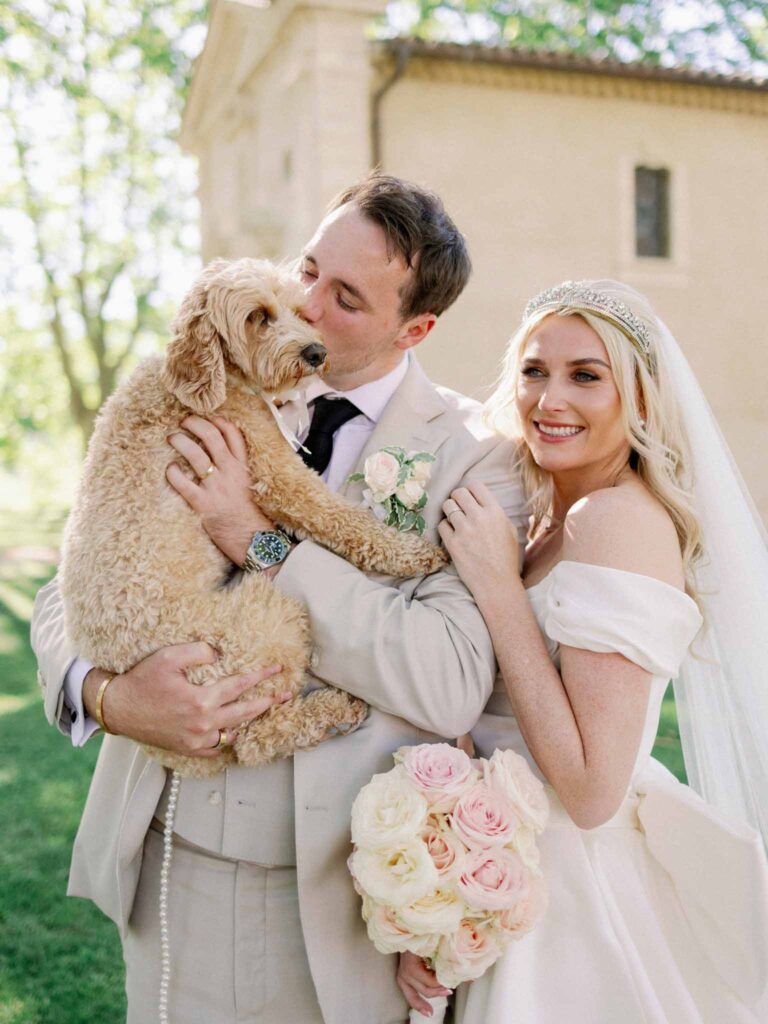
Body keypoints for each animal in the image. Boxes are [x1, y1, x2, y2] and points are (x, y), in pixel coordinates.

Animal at [60, 256, 448, 774]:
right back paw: (333, 710)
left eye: (304, 310)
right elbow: (338, 516)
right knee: (252, 738)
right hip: (266, 623)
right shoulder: (274, 469)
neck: (210, 381)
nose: (316, 352)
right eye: (258, 317)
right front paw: (413, 553)